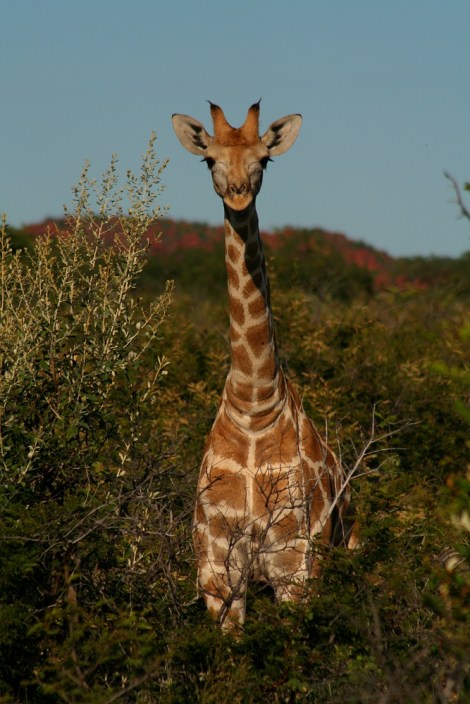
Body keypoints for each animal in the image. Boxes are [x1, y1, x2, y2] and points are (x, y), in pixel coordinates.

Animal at [172, 101, 357, 629]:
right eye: (208, 160)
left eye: (265, 160)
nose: (238, 196)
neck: (254, 404)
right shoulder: (217, 569)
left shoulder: (294, 564)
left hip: (348, 544)